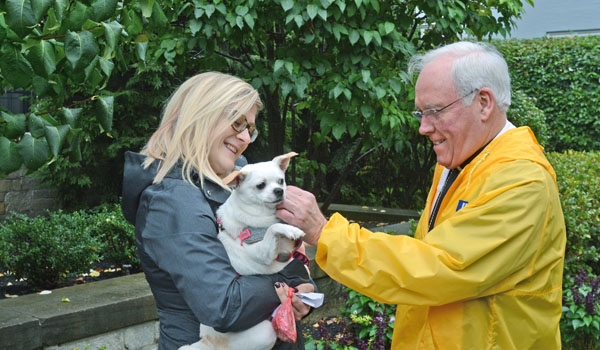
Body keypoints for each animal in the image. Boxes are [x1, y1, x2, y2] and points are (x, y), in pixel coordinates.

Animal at [180, 152, 304, 350]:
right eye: (261, 185)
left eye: (281, 181)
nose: (279, 191)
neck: (264, 214)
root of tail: (208, 341)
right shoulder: (261, 252)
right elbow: (274, 229)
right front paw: (288, 229)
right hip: (264, 332)